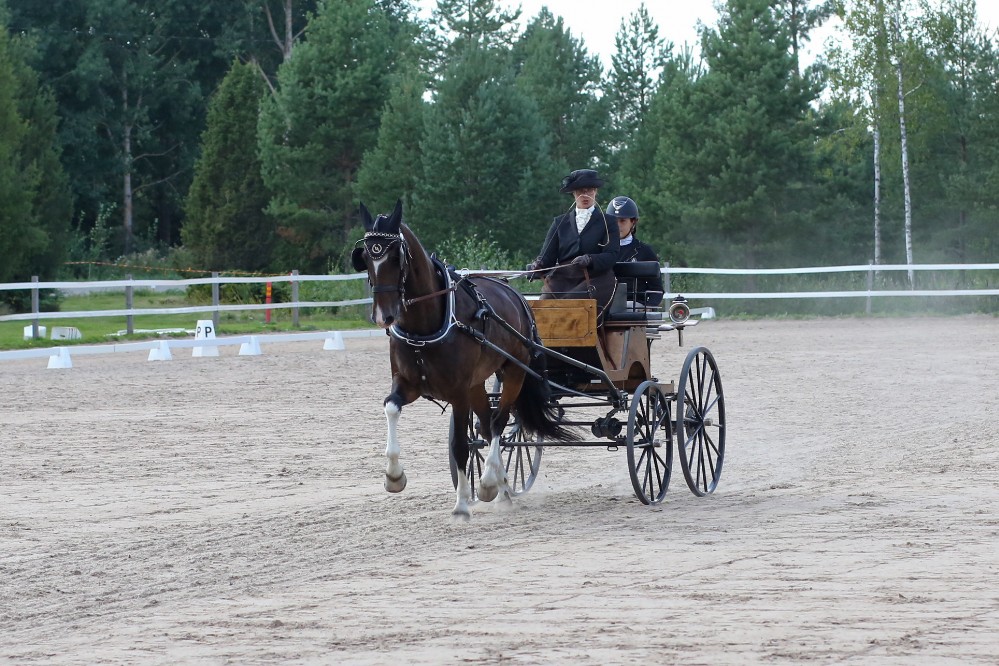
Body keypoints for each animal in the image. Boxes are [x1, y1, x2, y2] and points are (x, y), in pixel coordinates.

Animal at [352, 200, 576, 516]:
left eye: (396, 257)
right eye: (365, 258)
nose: (384, 316)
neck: (426, 326)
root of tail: (515, 295)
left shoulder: (458, 392)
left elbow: (460, 444)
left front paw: (461, 506)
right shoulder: (407, 383)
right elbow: (392, 408)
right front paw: (394, 477)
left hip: (514, 371)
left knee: (498, 422)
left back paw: (489, 483)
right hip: (477, 383)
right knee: (487, 424)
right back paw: (500, 488)